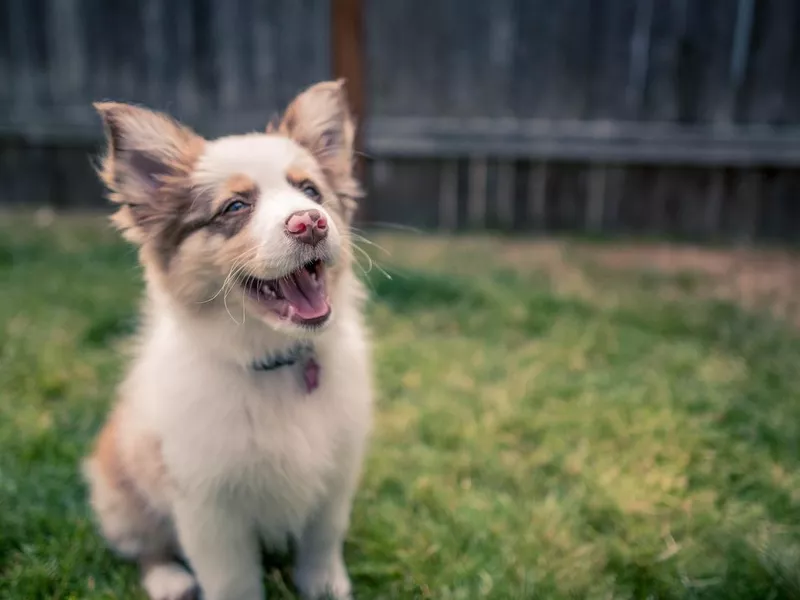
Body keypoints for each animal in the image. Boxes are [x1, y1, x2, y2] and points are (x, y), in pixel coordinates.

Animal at [83, 81, 370, 600]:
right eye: (235, 206)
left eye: (310, 190)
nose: (311, 222)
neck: (274, 360)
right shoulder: (208, 505)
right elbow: (233, 579)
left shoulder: (336, 474)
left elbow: (322, 542)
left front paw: (326, 586)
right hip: (119, 494)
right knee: (144, 548)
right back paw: (170, 580)